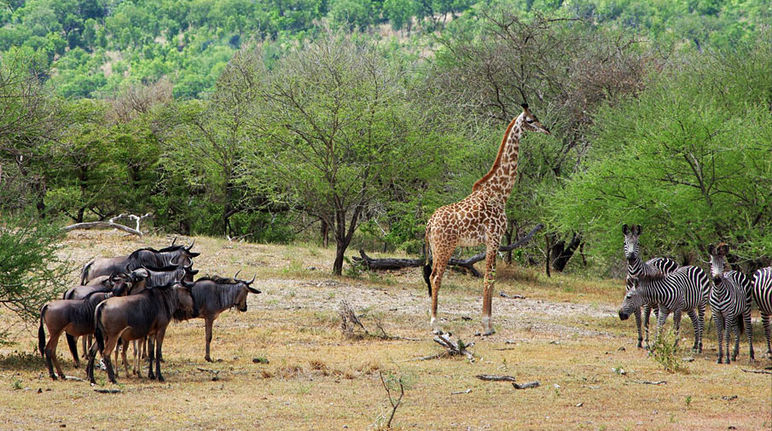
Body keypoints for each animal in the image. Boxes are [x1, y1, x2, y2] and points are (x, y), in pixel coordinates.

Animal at [422, 104, 548, 338]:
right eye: (531, 120)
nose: (546, 129)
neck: (500, 193)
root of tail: (429, 224)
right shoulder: (494, 238)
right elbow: (490, 277)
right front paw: (487, 325)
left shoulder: (492, 240)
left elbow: (491, 277)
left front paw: (488, 324)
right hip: (445, 247)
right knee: (435, 278)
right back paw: (436, 324)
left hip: (435, 248)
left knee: (431, 275)